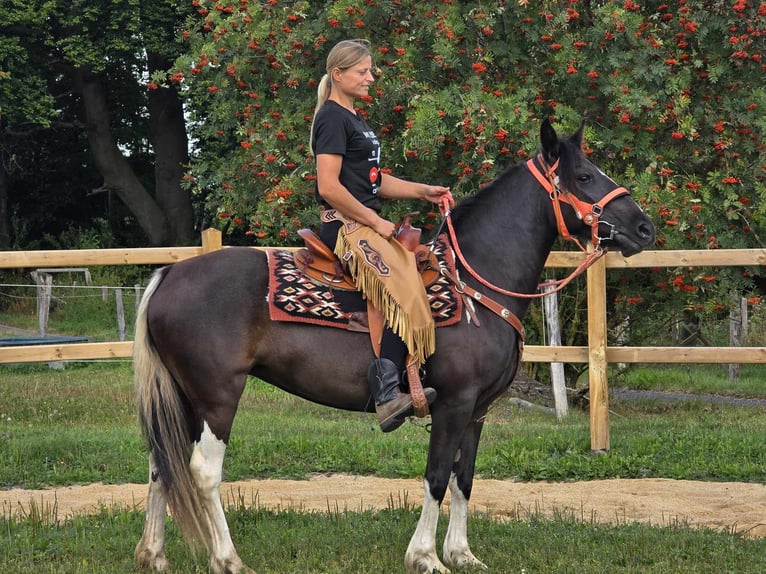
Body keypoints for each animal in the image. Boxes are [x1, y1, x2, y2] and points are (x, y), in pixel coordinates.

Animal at [132, 119, 656, 572]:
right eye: (584, 175)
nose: (645, 228)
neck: (473, 283)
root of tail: (169, 274)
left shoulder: (478, 409)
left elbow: (465, 478)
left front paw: (462, 554)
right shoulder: (454, 402)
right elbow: (438, 475)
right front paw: (425, 557)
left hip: (183, 396)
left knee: (162, 463)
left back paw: (154, 555)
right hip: (217, 395)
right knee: (202, 470)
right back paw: (228, 560)